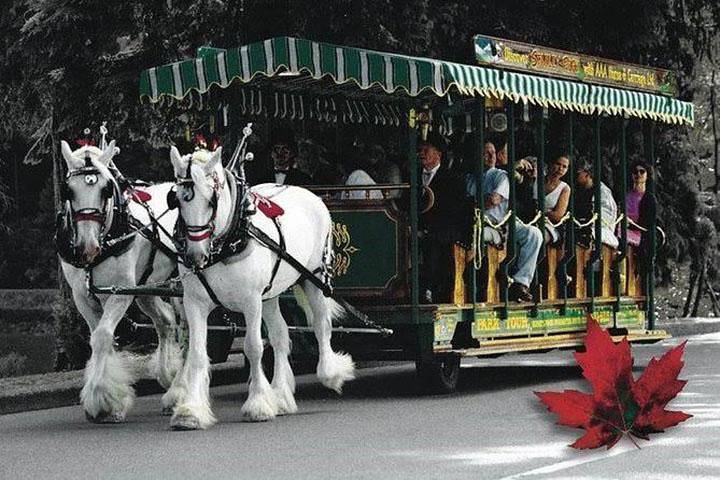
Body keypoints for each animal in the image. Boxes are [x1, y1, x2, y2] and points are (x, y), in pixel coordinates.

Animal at [59, 141, 183, 422]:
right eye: (68, 190)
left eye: (105, 190)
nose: (87, 247)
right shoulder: (82, 297)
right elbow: (99, 337)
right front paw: (109, 397)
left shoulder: (120, 293)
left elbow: (103, 336)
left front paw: (101, 400)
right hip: (146, 288)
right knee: (166, 321)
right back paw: (170, 378)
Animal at [164, 147, 354, 432]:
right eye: (177, 200)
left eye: (210, 201)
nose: (196, 255)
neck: (229, 240)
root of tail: (308, 193)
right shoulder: (195, 303)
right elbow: (197, 353)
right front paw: (191, 411)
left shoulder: (250, 301)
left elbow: (253, 348)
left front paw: (258, 404)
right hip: (271, 295)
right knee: (280, 335)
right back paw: (281, 396)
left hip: (314, 279)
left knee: (322, 325)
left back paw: (330, 373)